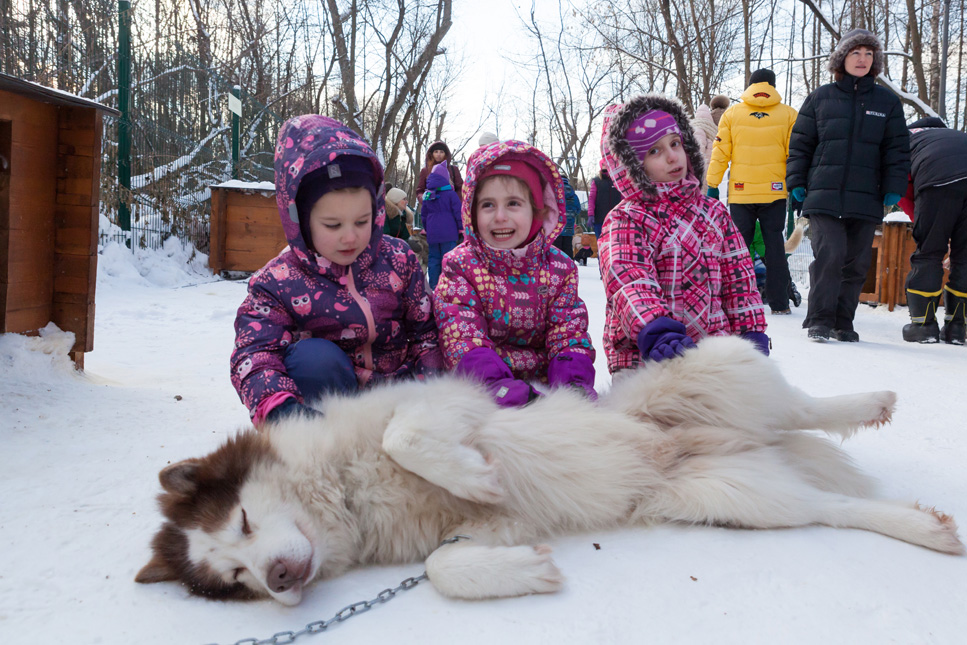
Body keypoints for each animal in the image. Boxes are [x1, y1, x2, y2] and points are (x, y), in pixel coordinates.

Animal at [134, 338, 960, 604]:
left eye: (244, 520)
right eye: (234, 575)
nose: (277, 579)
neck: (345, 488)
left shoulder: (446, 404)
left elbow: (408, 434)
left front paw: (470, 473)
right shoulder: (493, 527)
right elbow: (441, 566)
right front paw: (529, 573)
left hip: (710, 370)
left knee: (797, 404)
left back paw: (870, 400)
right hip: (732, 495)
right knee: (828, 508)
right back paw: (923, 527)